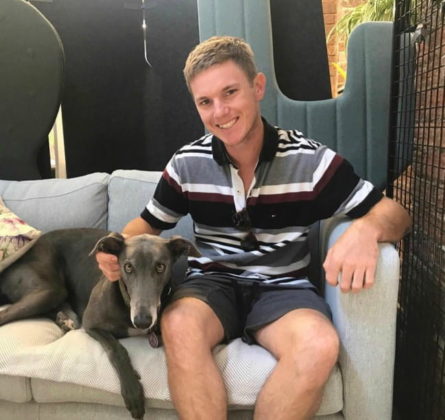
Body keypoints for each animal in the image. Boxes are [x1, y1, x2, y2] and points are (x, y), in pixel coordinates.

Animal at [0, 228, 199, 419]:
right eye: (128, 267)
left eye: (160, 267)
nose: (142, 321)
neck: (126, 301)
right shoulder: (91, 323)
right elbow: (117, 350)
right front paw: (132, 391)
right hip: (49, 290)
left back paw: (65, 319)